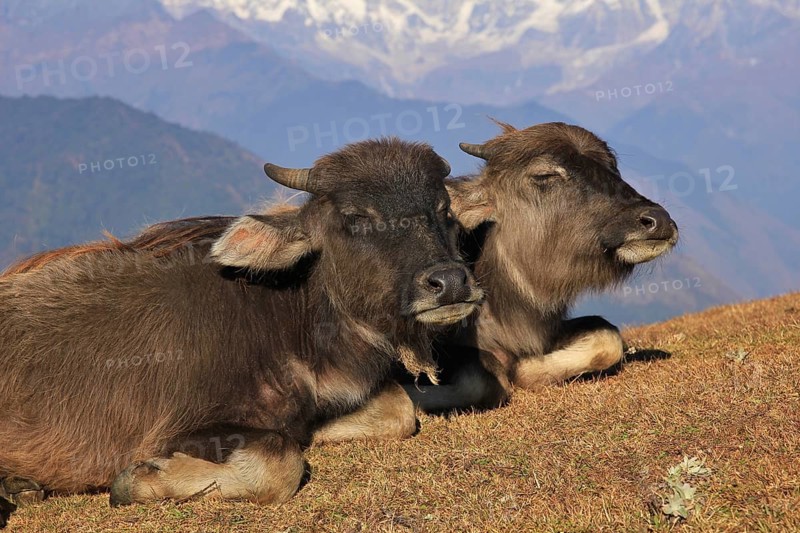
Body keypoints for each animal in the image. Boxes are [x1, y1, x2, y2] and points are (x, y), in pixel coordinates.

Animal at [0, 137, 484, 527]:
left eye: (443, 210)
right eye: (356, 217)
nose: (449, 282)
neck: (287, 315)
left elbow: (399, 411)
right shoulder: (181, 429)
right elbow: (278, 463)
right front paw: (142, 480)